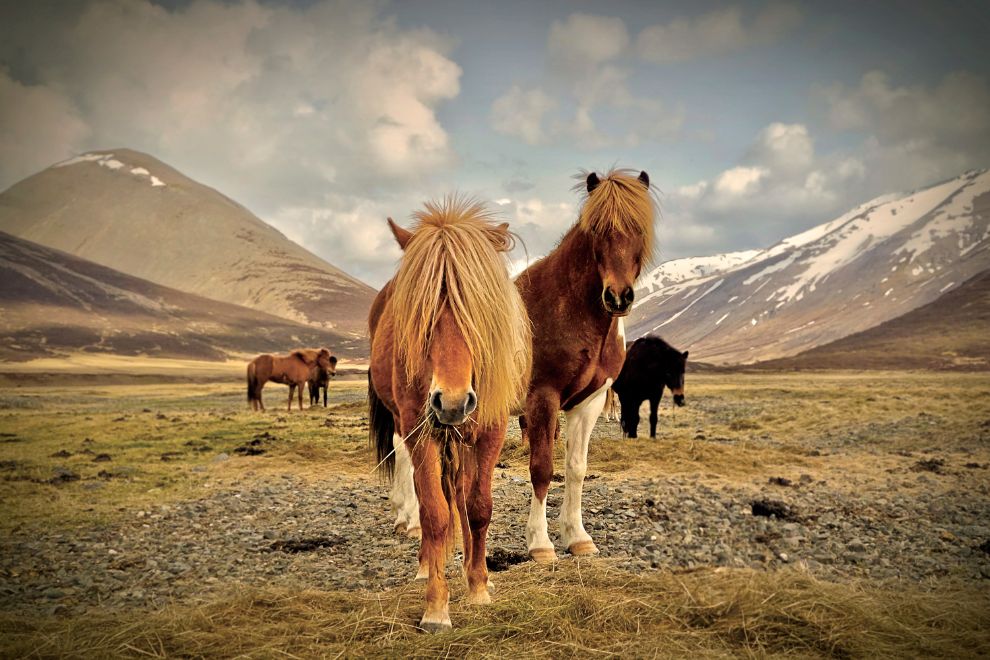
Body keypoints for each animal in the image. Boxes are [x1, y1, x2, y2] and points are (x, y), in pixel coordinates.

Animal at [367, 198, 531, 632]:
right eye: (421, 315)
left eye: (480, 310)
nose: (452, 402)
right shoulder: (419, 431)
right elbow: (436, 514)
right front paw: (436, 608)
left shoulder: (490, 429)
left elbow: (478, 507)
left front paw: (479, 586)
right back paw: (429, 564)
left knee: (461, 493)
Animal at [516, 169, 655, 562]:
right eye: (596, 230)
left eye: (640, 229)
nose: (618, 297)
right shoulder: (542, 398)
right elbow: (542, 468)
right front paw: (540, 543)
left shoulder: (588, 402)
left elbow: (576, 468)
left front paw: (577, 537)